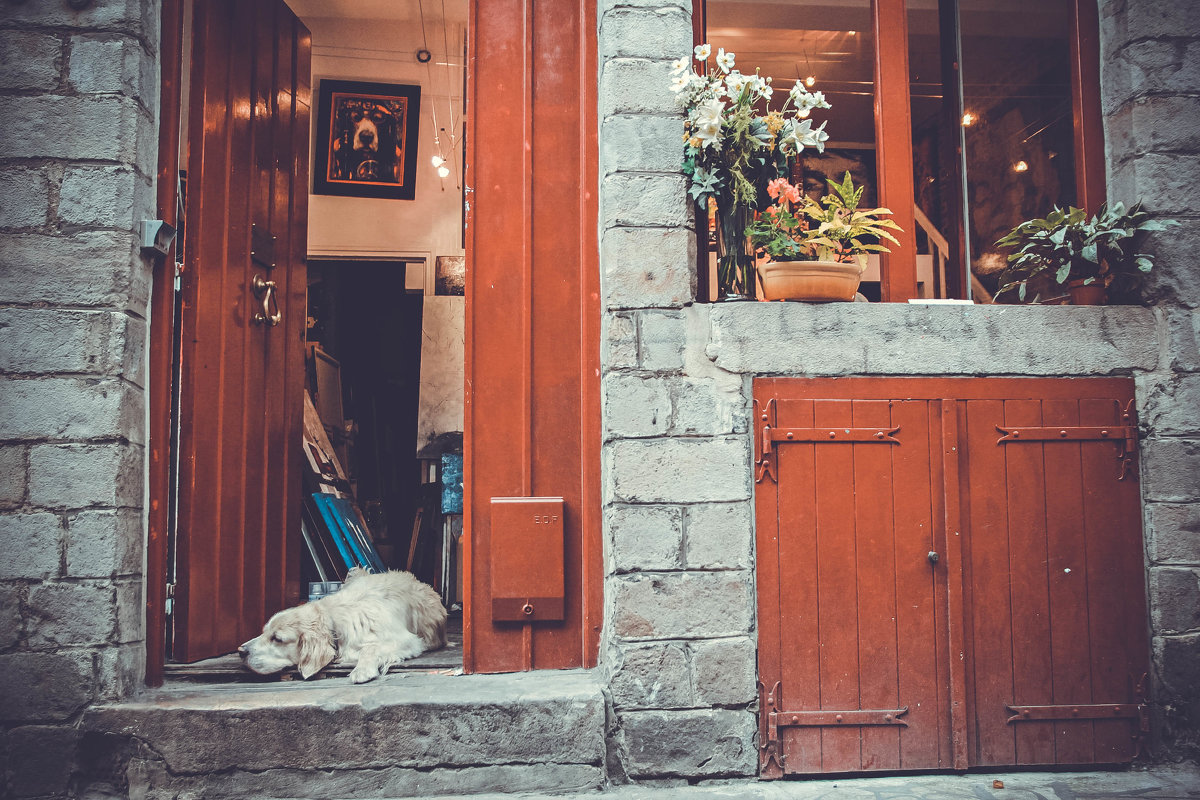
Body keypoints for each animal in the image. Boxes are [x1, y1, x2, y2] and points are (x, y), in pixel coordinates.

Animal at [241, 568, 448, 681]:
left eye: (277, 638)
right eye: (263, 632)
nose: (241, 651)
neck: (333, 619)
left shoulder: (406, 640)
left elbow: (370, 648)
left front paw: (362, 670)